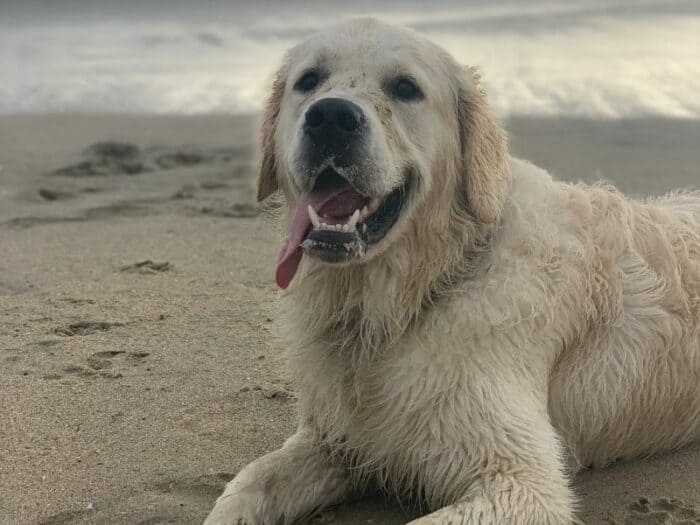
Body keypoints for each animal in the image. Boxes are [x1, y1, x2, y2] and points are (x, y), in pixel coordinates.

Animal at [205, 17, 700, 524]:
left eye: (406, 87)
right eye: (308, 80)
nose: (330, 118)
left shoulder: (522, 483)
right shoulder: (332, 439)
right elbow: (247, 484)